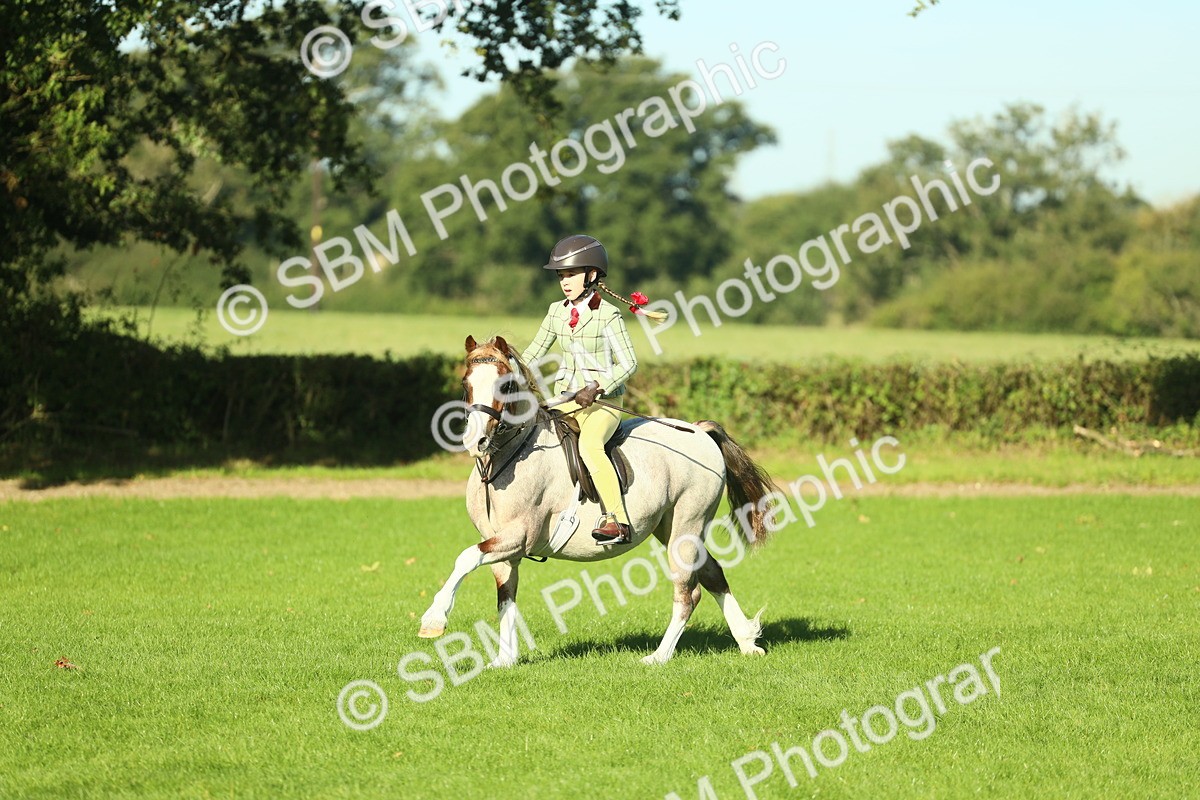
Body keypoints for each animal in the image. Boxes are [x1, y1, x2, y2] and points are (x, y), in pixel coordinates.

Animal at [417, 335, 778, 666]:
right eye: (465, 383)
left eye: (505, 385)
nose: (475, 441)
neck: (505, 460)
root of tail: (699, 431)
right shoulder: (503, 547)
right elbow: (505, 598)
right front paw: (505, 660)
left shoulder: (518, 536)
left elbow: (465, 558)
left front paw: (434, 620)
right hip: (669, 527)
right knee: (713, 573)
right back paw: (747, 642)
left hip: (688, 526)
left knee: (688, 592)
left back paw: (658, 657)